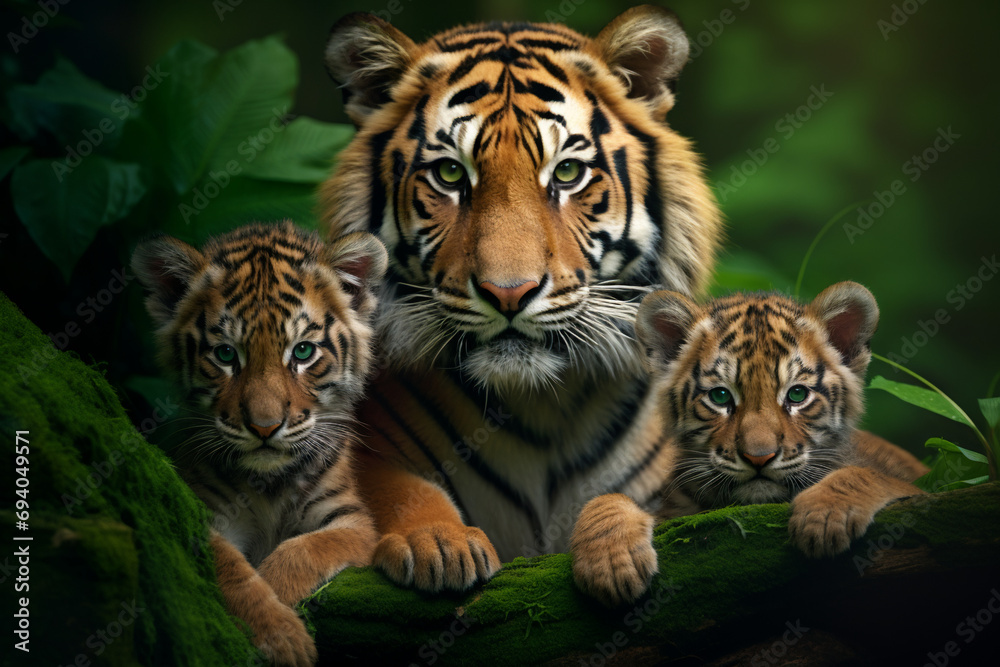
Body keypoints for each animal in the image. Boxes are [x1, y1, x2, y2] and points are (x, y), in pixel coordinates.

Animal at [131, 221, 387, 666]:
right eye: (225, 354)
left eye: (303, 351)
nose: (265, 427)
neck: (269, 482)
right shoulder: (205, 514)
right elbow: (233, 572)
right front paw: (282, 637)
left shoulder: (351, 520)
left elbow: (302, 551)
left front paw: (282, 609)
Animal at [318, 5, 723, 592]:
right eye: (450, 173)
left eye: (568, 173)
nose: (508, 293)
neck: (541, 411)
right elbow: (394, 488)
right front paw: (439, 544)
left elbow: (626, 501)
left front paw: (614, 553)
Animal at [571, 281, 930, 606]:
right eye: (720, 396)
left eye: (797, 394)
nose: (759, 457)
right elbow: (607, 499)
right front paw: (610, 564)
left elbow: (871, 475)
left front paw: (825, 516)